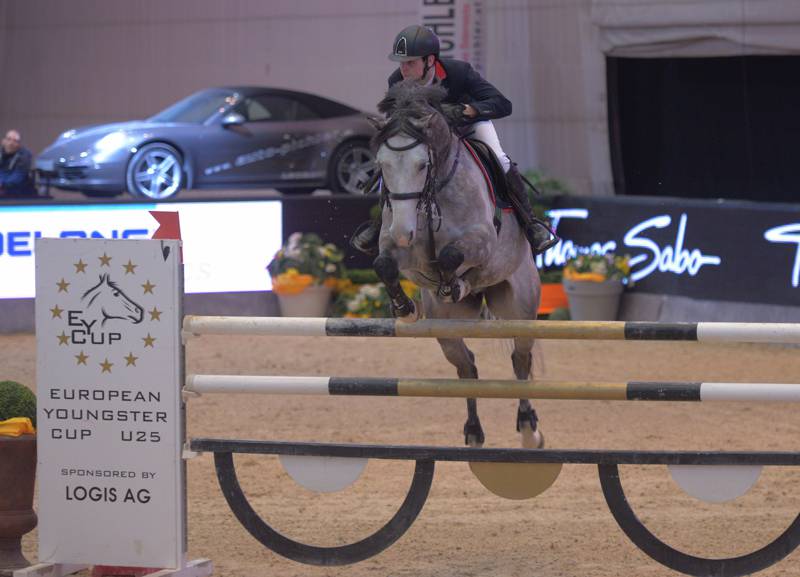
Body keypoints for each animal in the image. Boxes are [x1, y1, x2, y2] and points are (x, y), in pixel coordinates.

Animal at [368, 79, 544, 448]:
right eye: (382, 166)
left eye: (422, 164)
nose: (404, 232)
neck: (433, 192)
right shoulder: (404, 252)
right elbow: (385, 265)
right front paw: (404, 307)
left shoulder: (482, 242)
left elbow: (452, 256)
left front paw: (455, 283)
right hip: (446, 327)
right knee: (466, 367)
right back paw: (474, 431)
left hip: (519, 308)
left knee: (520, 360)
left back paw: (529, 430)